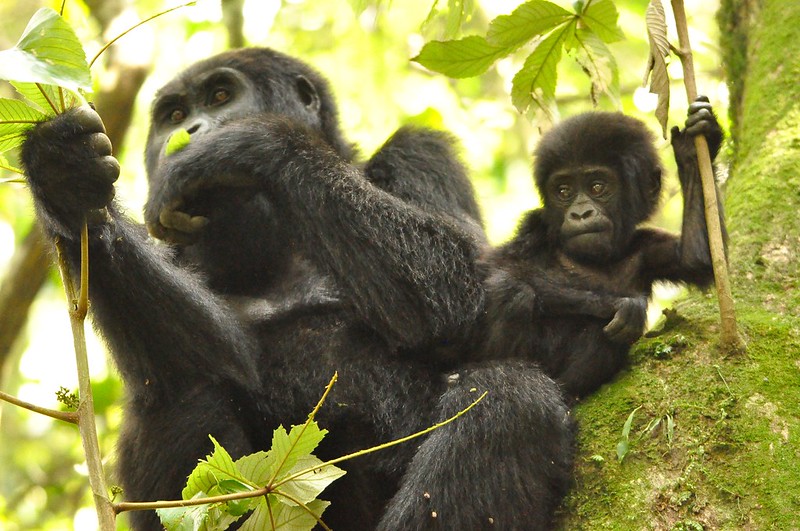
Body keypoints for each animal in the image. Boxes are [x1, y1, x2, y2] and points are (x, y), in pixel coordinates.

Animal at [20, 47, 576, 528]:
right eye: (174, 114)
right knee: (181, 387)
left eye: (220, 96)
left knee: (508, 399)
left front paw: (248, 143)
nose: (192, 129)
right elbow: (215, 353)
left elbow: (471, 299)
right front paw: (64, 180)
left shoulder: (421, 152)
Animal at [472, 98, 728, 400]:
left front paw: (696, 144)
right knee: (513, 291)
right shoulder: (534, 227)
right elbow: (498, 269)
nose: (580, 213)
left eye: (597, 187)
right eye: (563, 191)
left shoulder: (646, 247)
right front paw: (623, 305)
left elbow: (698, 259)